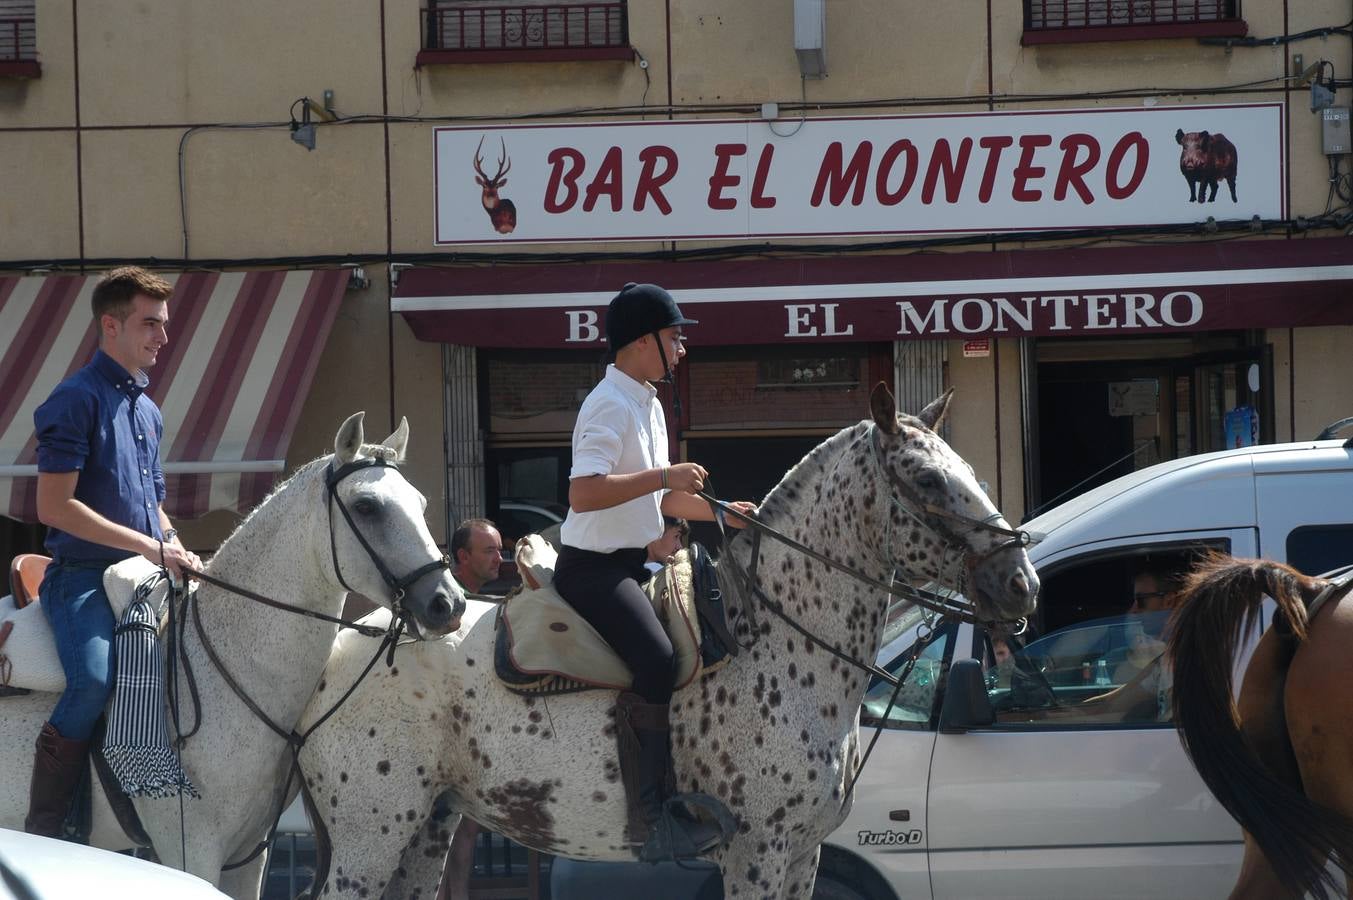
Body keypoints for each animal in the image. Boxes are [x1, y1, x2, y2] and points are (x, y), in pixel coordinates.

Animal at [299, 387, 1033, 898]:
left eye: (968, 470)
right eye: (928, 479)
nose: (1019, 581)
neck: (774, 643)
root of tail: (336, 660)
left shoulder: (804, 854)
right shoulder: (756, 854)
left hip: (426, 828)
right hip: (371, 838)